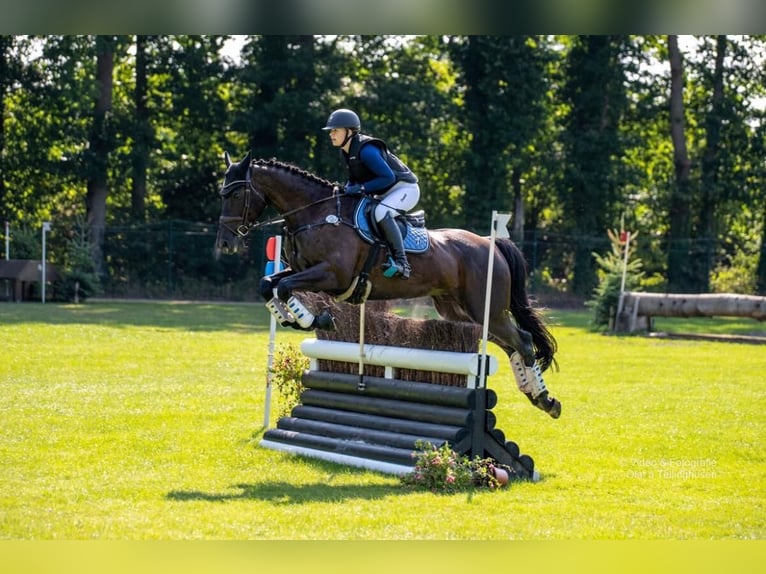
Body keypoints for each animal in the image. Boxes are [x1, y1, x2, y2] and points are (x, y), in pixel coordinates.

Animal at [216, 151, 564, 418]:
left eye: (235, 194)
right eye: (222, 193)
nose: (224, 244)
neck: (315, 213)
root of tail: (491, 244)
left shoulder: (332, 275)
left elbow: (286, 288)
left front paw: (318, 319)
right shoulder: (300, 270)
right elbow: (269, 284)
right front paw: (296, 318)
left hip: (487, 308)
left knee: (523, 342)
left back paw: (545, 400)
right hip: (461, 311)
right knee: (511, 344)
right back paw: (537, 395)